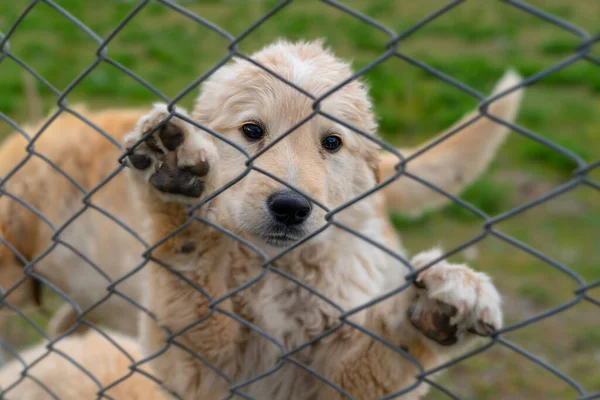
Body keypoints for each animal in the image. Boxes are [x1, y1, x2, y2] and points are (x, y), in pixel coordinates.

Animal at [0, 38, 520, 400]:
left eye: (332, 143)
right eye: (252, 131)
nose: (290, 207)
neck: (276, 271)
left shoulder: (333, 374)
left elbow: (383, 355)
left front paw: (433, 307)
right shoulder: (196, 368)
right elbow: (187, 281)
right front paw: (179, 194)